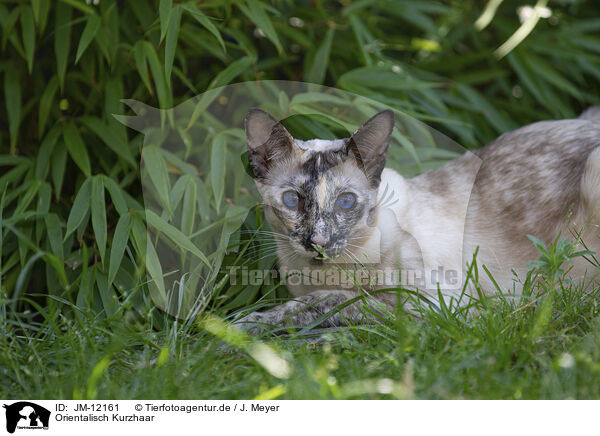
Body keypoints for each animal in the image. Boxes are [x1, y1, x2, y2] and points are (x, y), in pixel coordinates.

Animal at [234, 106, 600, 334]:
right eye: (293, 200)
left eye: (346, 201)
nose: (319, 242)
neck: (317, 274)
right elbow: (316, 300)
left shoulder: (435, 304)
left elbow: (325, 300)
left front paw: (240, 327)